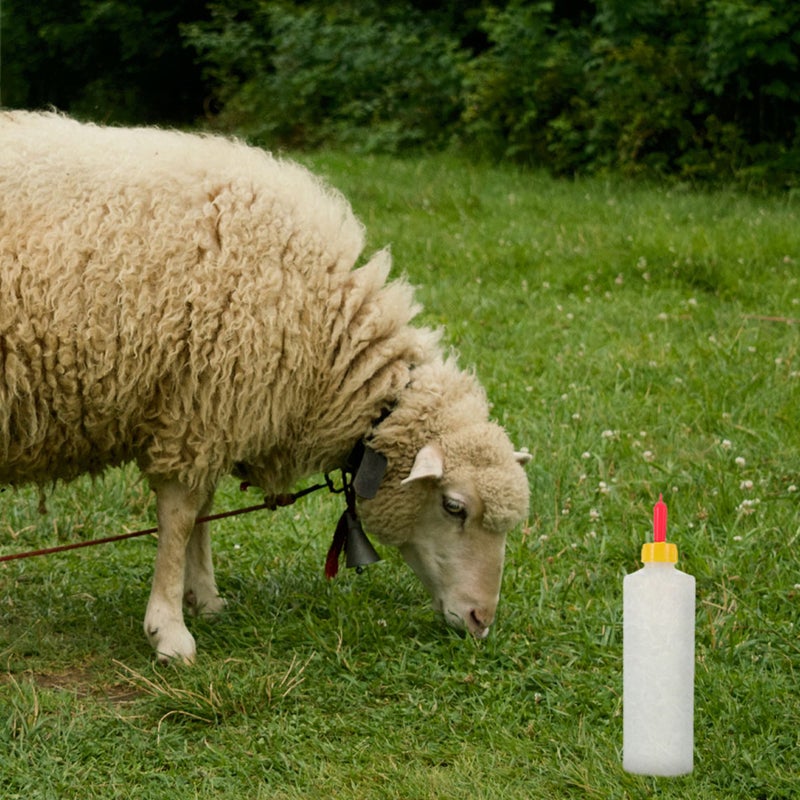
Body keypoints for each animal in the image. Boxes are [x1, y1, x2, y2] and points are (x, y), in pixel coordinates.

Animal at [0, 111, 530, 663]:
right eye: (454, 508)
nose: (481, 621)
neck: (325, 334)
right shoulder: (197, 409)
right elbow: (179, 519)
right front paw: (169, 631)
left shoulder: (212, 413)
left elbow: (201, 515)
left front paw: (205, 599)